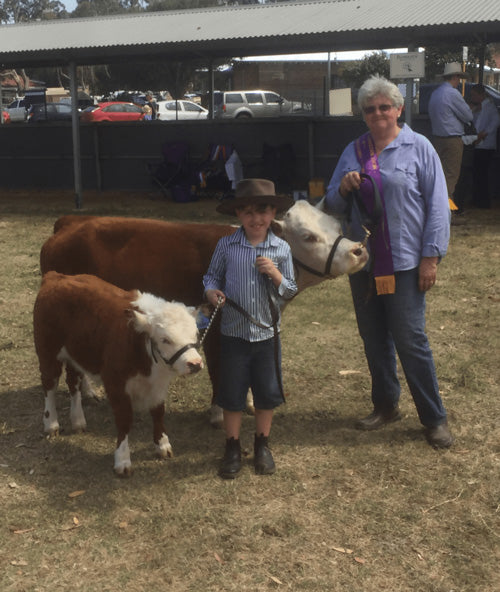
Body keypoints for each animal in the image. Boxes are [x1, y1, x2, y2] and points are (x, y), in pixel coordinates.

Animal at [33, 270, 203, 474]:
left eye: (195, 334)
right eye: (165, 339)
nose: (195, 363)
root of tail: (56, 277)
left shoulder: (158, 385)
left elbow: (158, 412)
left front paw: (162, 445)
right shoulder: (115, 384)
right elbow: (124, 421)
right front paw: (122, 460)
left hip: (76, 354)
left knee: (73, 383)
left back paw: (78, 420)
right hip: (48, 352)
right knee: (49, 385)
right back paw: (51, 424)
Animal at [41, 204, 370, 426]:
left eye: (337, 227)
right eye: (309, 236)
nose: (359, 250)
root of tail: (71, 222)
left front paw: (248, 403)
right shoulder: (217, 328)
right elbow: (219, 370)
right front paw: (218, 412)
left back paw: (89, 391)